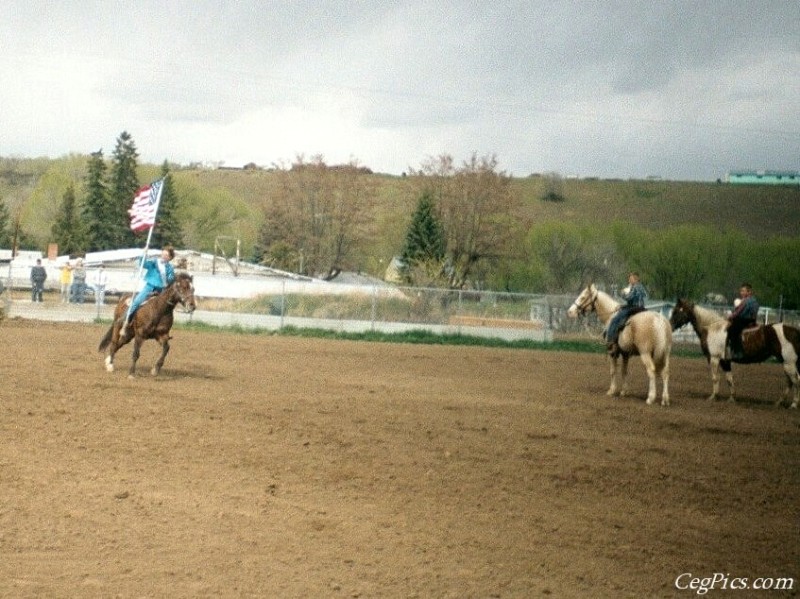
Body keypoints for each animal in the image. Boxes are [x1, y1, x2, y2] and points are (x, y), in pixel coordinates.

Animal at [668, 300, 800, 408]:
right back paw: (779, 402)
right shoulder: (725, 361)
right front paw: (732, 398)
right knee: (789, 381)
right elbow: (729, 379)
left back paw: (793, 404)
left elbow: (715, 378)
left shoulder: (714, 358)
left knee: (795, 380)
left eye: (676, 312)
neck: (712, 328)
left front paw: (713, 396)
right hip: (785, 362)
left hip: (789, 363)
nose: (670, 326)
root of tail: (794, 331)